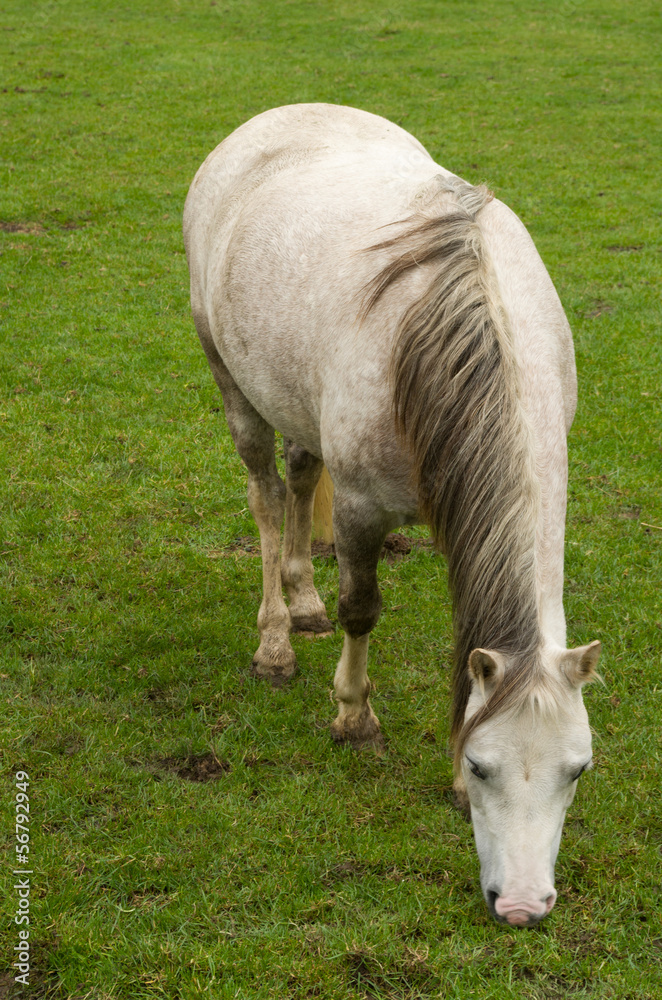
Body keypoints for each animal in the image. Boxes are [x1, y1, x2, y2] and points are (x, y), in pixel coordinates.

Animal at [183, 104, 601, 927]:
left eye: (576, 770)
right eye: (483, 765)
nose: (522, 907)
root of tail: (275, 117)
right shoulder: (362, 509)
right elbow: (362, 607)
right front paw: (353, 720)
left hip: (300, 404)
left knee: (300, 475)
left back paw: (302, 603)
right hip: (232, 381)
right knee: (267, 497)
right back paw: (275, 642)